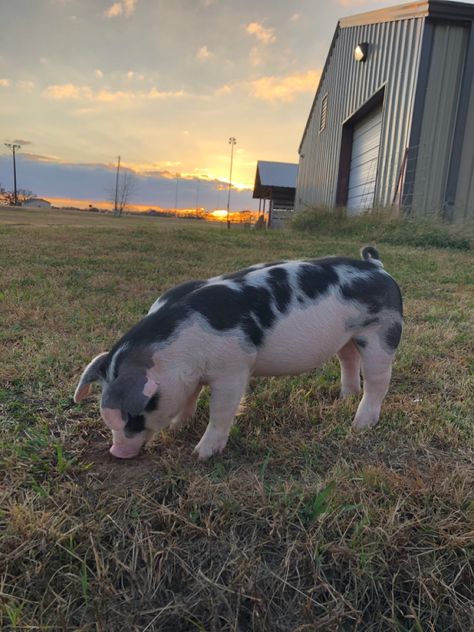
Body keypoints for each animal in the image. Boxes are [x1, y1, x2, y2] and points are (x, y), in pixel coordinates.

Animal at [75, 246, 404, 460]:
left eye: (135, 415)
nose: (117, 451)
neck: (176, 352)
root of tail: (377, 267)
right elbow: (189, 399)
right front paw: (179, 427)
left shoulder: (233, 369)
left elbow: (221, 411)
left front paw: (201, 455)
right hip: (347, 336)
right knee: (349, 360)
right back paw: (344, 398)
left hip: (383, 332)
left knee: (378, 381)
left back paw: (360, 425)